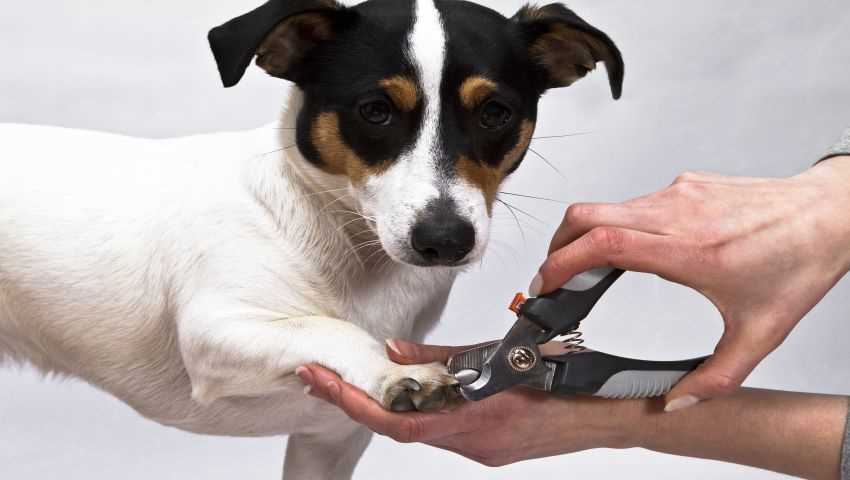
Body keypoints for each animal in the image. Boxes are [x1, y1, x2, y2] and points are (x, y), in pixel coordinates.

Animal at [0, 0, 624, 476]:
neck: (342, 243)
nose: (444, 239)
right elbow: (331, 329)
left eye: (496, 113)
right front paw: (393, 371)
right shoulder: (215, 329)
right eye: (375, 110)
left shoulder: (330, 439)